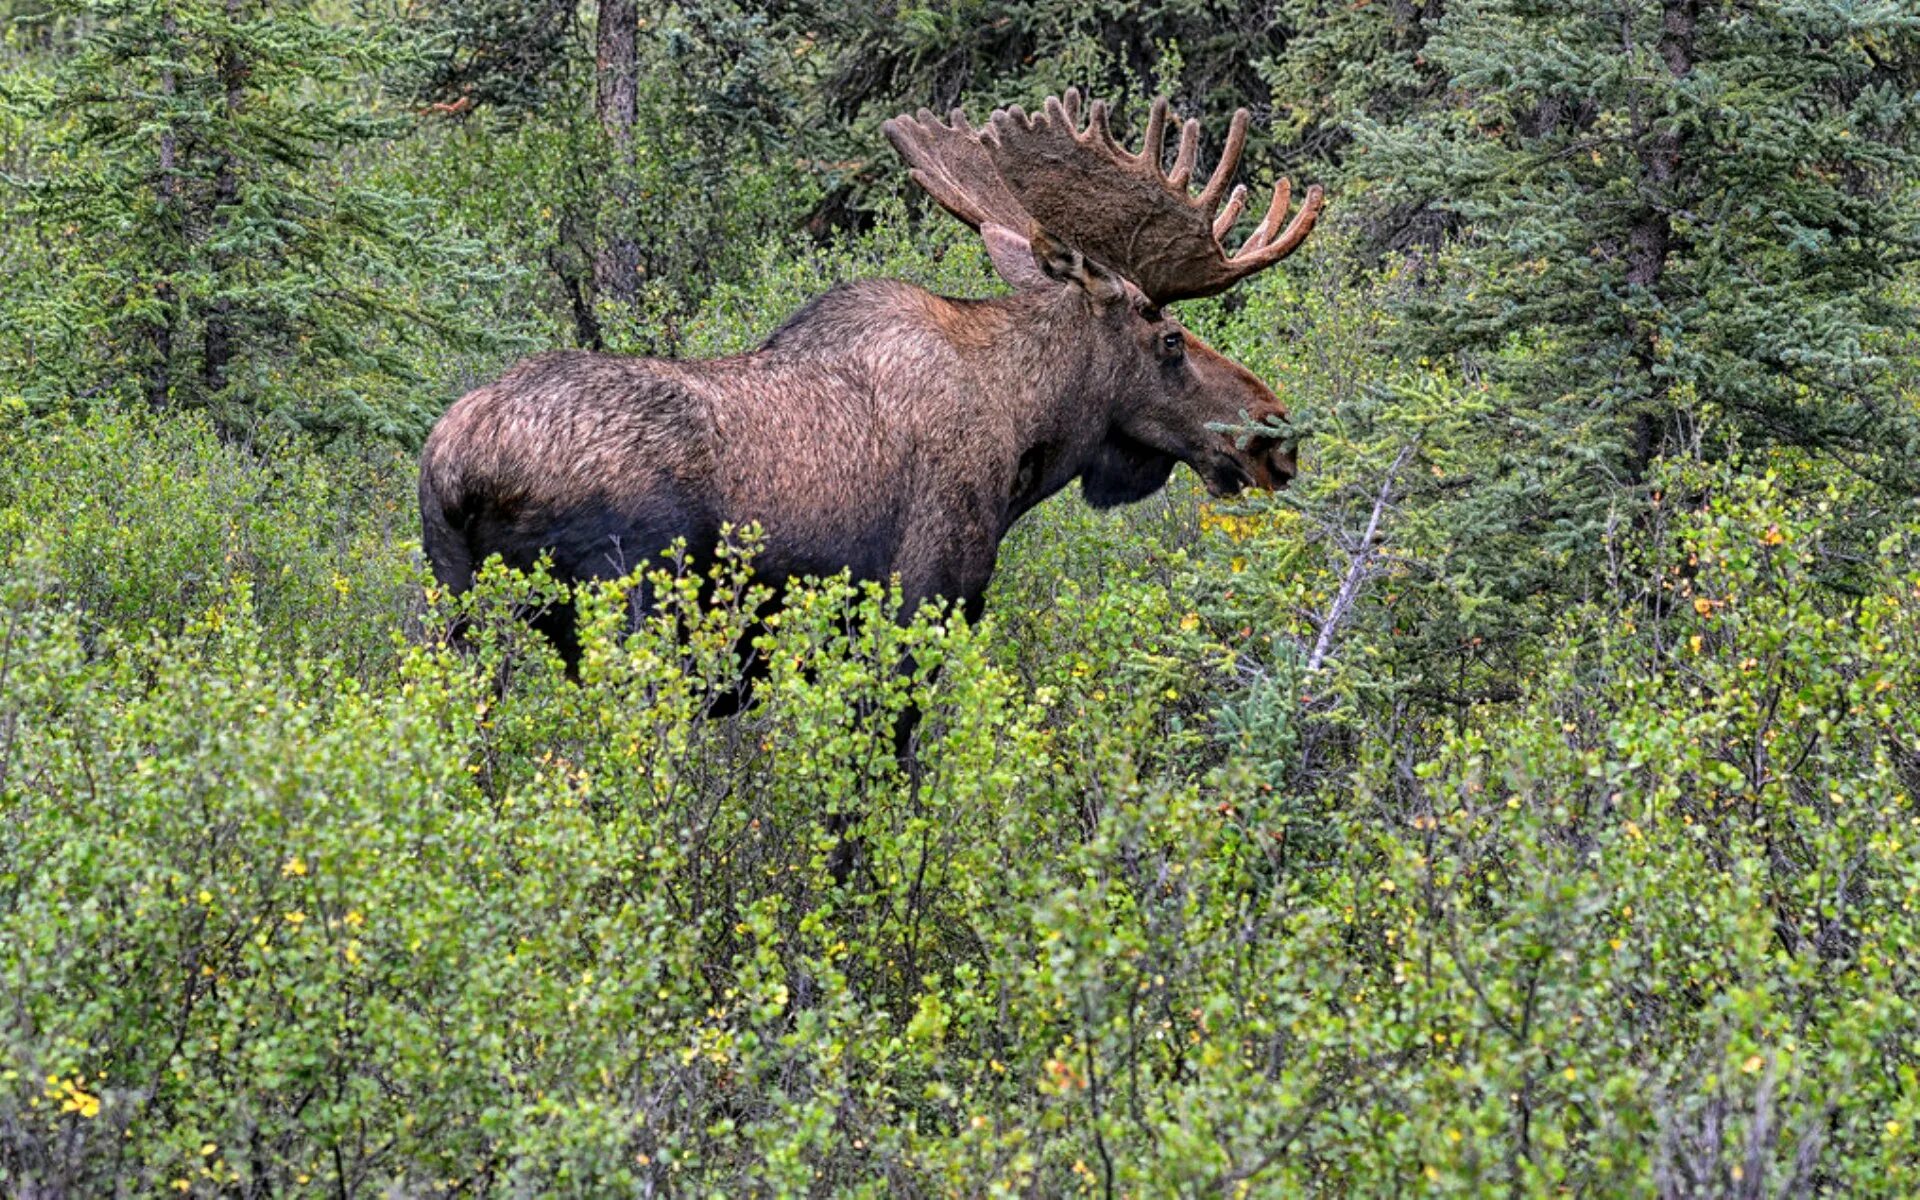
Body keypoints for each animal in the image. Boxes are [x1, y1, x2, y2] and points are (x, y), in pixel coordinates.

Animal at [420, 88, 1320, 668]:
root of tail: (458, 472)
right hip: (628, 608)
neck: (1028, 437)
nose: (1275, 433)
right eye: (1169, 339)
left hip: (457, 619)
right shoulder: (920, 604)